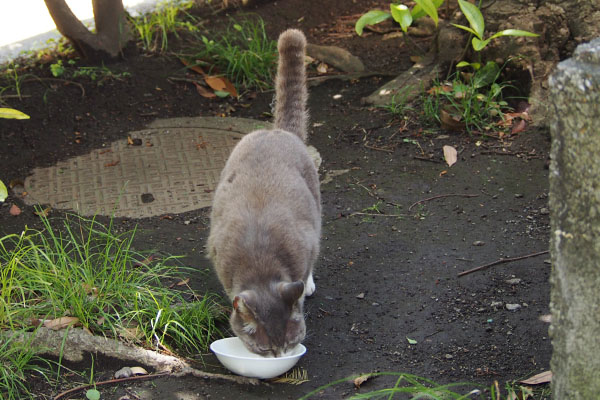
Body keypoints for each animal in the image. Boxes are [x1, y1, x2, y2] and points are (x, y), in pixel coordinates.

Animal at [207, 29, 322, 358]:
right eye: (266, 350)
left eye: (290, 344)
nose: (282, 358)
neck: (261, 264)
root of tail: (278, 131)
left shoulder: (306, 242)